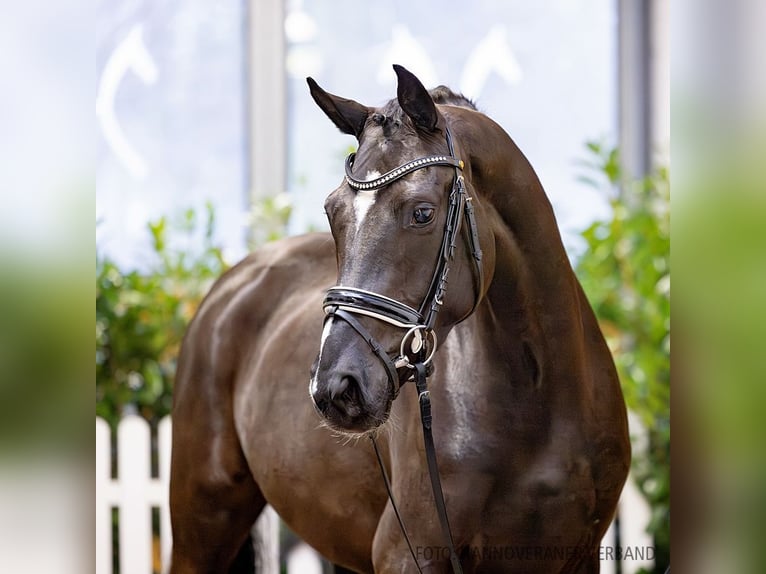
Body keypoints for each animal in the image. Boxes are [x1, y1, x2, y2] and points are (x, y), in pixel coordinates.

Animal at [171, 65, 632, 572]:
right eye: (332, 211)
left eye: (423, 213)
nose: (337, 387)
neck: (536, 399)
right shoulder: (407, 553)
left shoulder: (581, 556)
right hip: (202, 525)